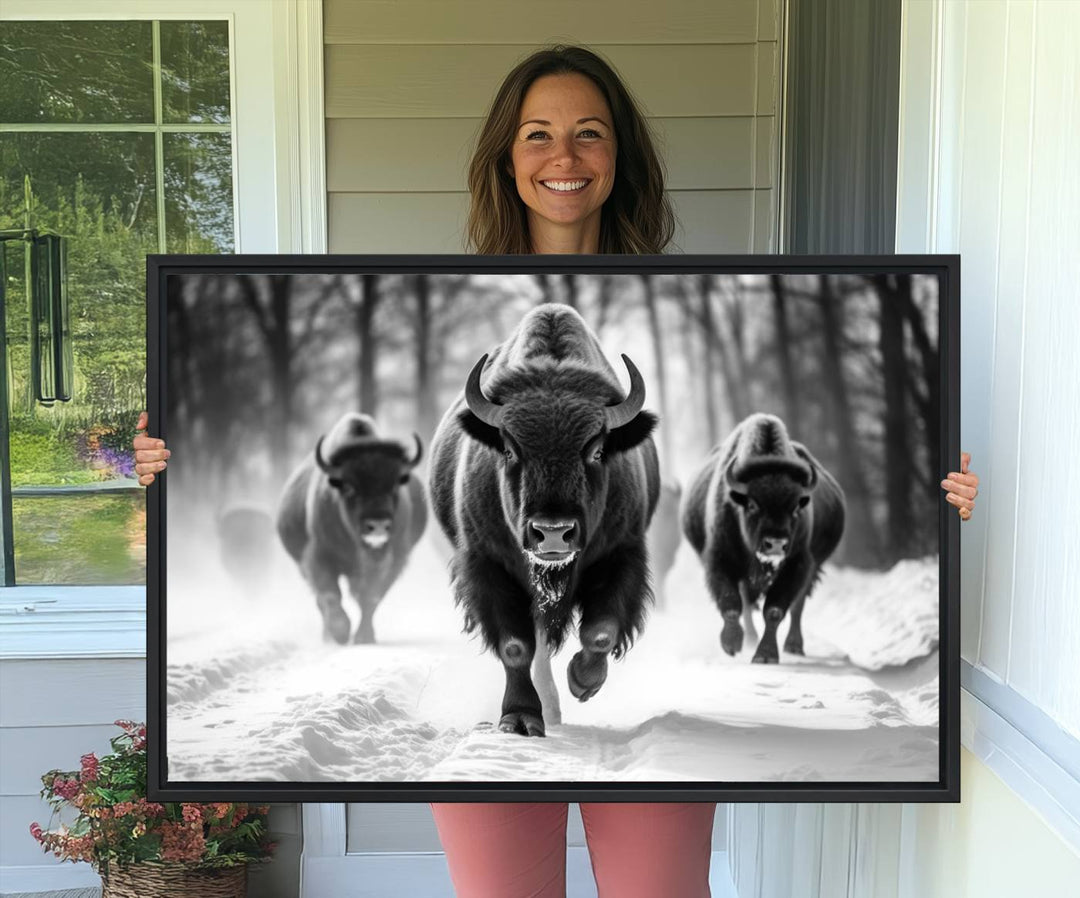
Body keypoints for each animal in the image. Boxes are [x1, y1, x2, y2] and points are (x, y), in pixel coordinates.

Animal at [278, 414, 425, 648]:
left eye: (394, 485)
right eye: (349, 486)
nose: (377, 525)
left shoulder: (390, 559)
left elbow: (370, 597)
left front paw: (364, 637)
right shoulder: (318, 556)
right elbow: (330, 594)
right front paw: (341, 633)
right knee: (322, 599)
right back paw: (328, 636)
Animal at [429, 304, 656, 739]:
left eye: (597, 450)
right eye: (508, 449)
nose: (553, 533)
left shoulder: (621, 554)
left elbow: (601, 631)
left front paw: (582, 681)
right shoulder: (489, 565)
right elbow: (516, 646)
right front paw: (520, 718)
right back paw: (546, 708)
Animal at [682, 412, 842, 661]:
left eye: (796, 508)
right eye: (752, 505)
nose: (775, 544)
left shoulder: (797, 564)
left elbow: (775, 610)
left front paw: (765, 655)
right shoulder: (720, 560)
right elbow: (731, 604)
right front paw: (731, 644)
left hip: (813, 568)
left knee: (797, 606)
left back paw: (794, 646)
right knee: (748, 604)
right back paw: (749, 639)